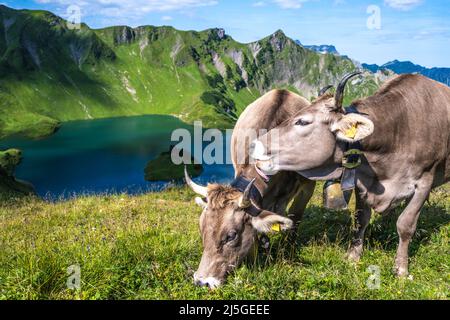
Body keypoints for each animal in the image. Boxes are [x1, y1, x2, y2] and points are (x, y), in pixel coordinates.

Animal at [185, 88, 316, 288]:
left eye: (231, 236)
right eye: (202, 229)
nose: (202, 282)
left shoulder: (309, 185)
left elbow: (296, 219)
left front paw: (288, 253)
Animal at [253, 72, 450, 276]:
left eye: (302, 121)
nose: (256, 144)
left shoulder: (425, 182)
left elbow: (406, 224)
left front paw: (401, 269)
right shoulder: (363, 180)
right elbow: (360, 220)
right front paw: (353, 257)